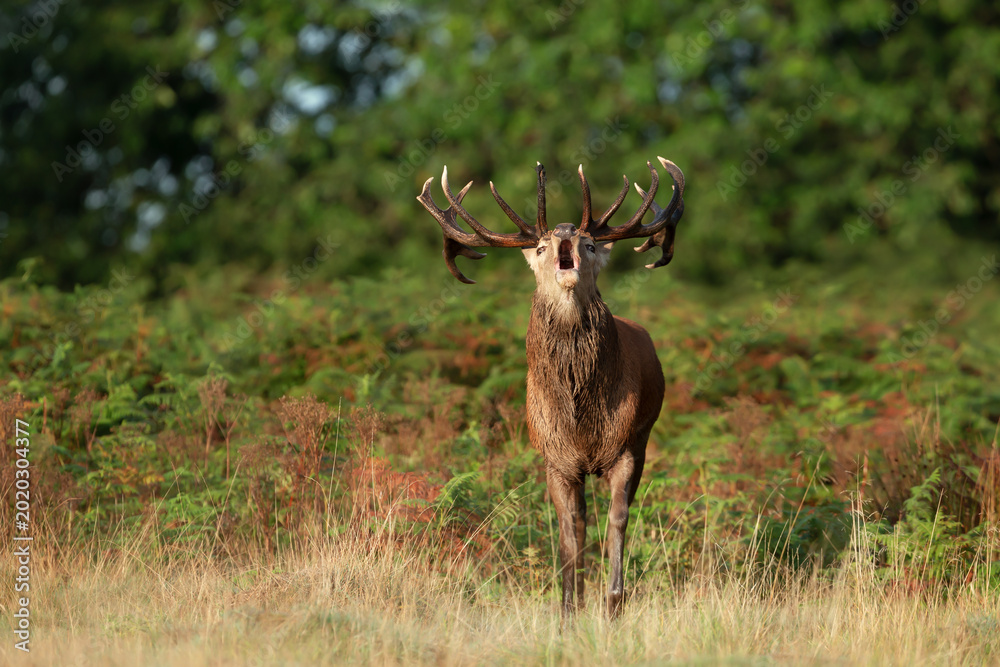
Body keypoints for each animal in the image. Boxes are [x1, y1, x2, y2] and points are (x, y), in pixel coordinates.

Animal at [416, 157, 685, 618]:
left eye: (590, 244)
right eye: (541, 248)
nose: (563, 232)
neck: (581, 416)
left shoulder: (628, 446)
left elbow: (618, 519)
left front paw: (613, 605)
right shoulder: (556, 457)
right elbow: (567, 531)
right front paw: (567, 611)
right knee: (580, 521)